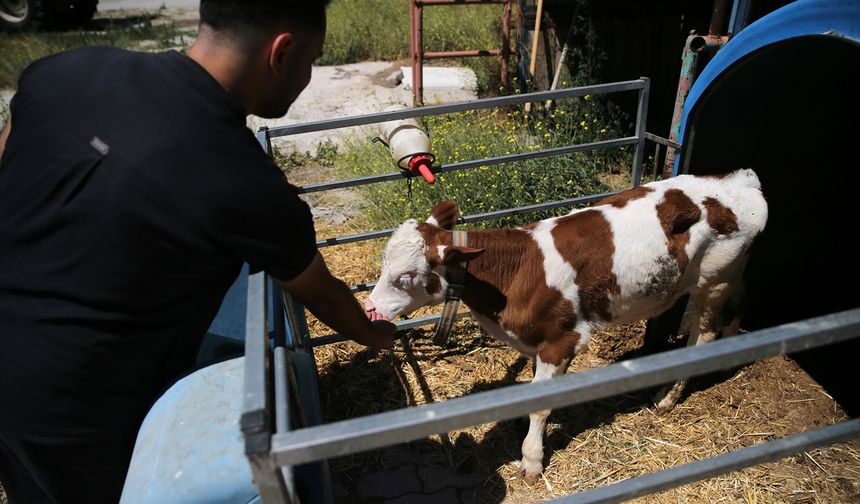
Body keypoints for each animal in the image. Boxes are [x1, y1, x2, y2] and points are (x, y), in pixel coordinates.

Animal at [362, 169, 764, 484]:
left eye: (405, 277)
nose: (370, 309)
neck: (516, 272)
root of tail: (739, 182)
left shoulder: (562, 339)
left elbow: (540, 406)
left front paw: (531, 462)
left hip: (714, 279)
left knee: (703, 336)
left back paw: (667, 396)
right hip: (732, 275)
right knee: (742, 302)